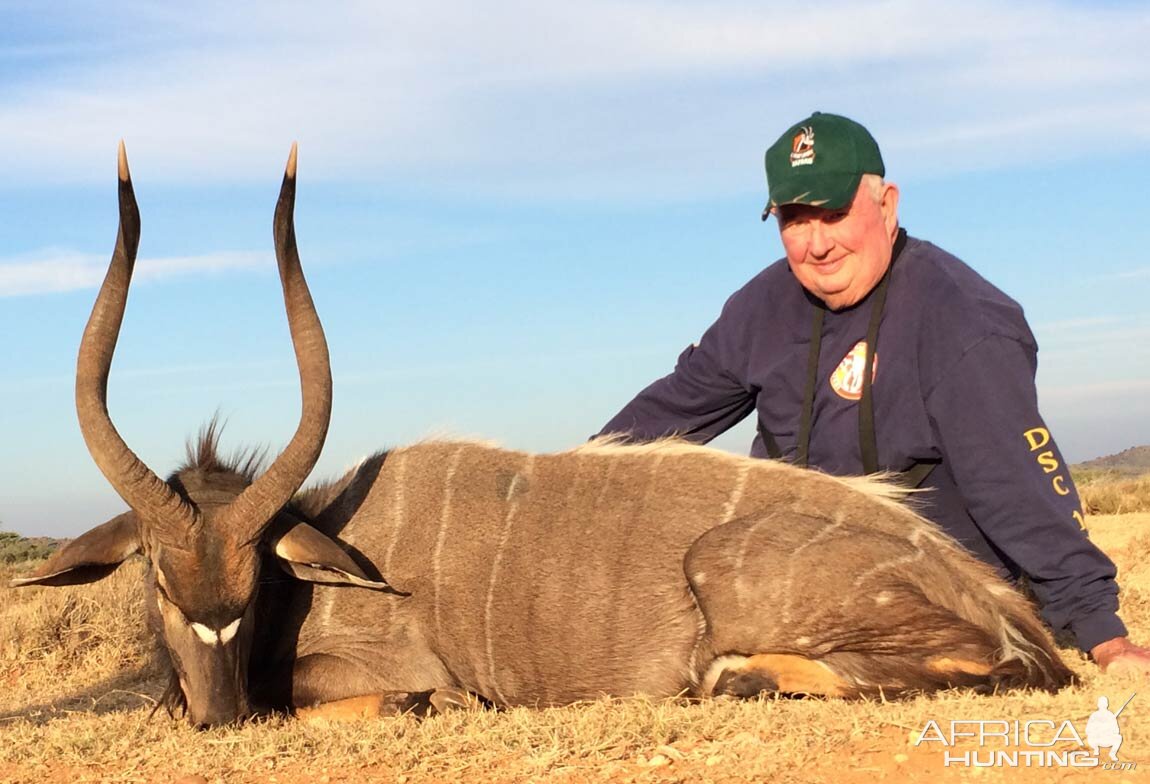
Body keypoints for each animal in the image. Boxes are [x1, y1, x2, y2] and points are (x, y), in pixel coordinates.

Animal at [8, 144, 1071, 726]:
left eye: (258, 582)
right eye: (155, 577)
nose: (215, 717)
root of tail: (977, 583)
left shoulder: (388, 669)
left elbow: (361, 694)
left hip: (744, 573)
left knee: (998, 668)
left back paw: (742, 677)